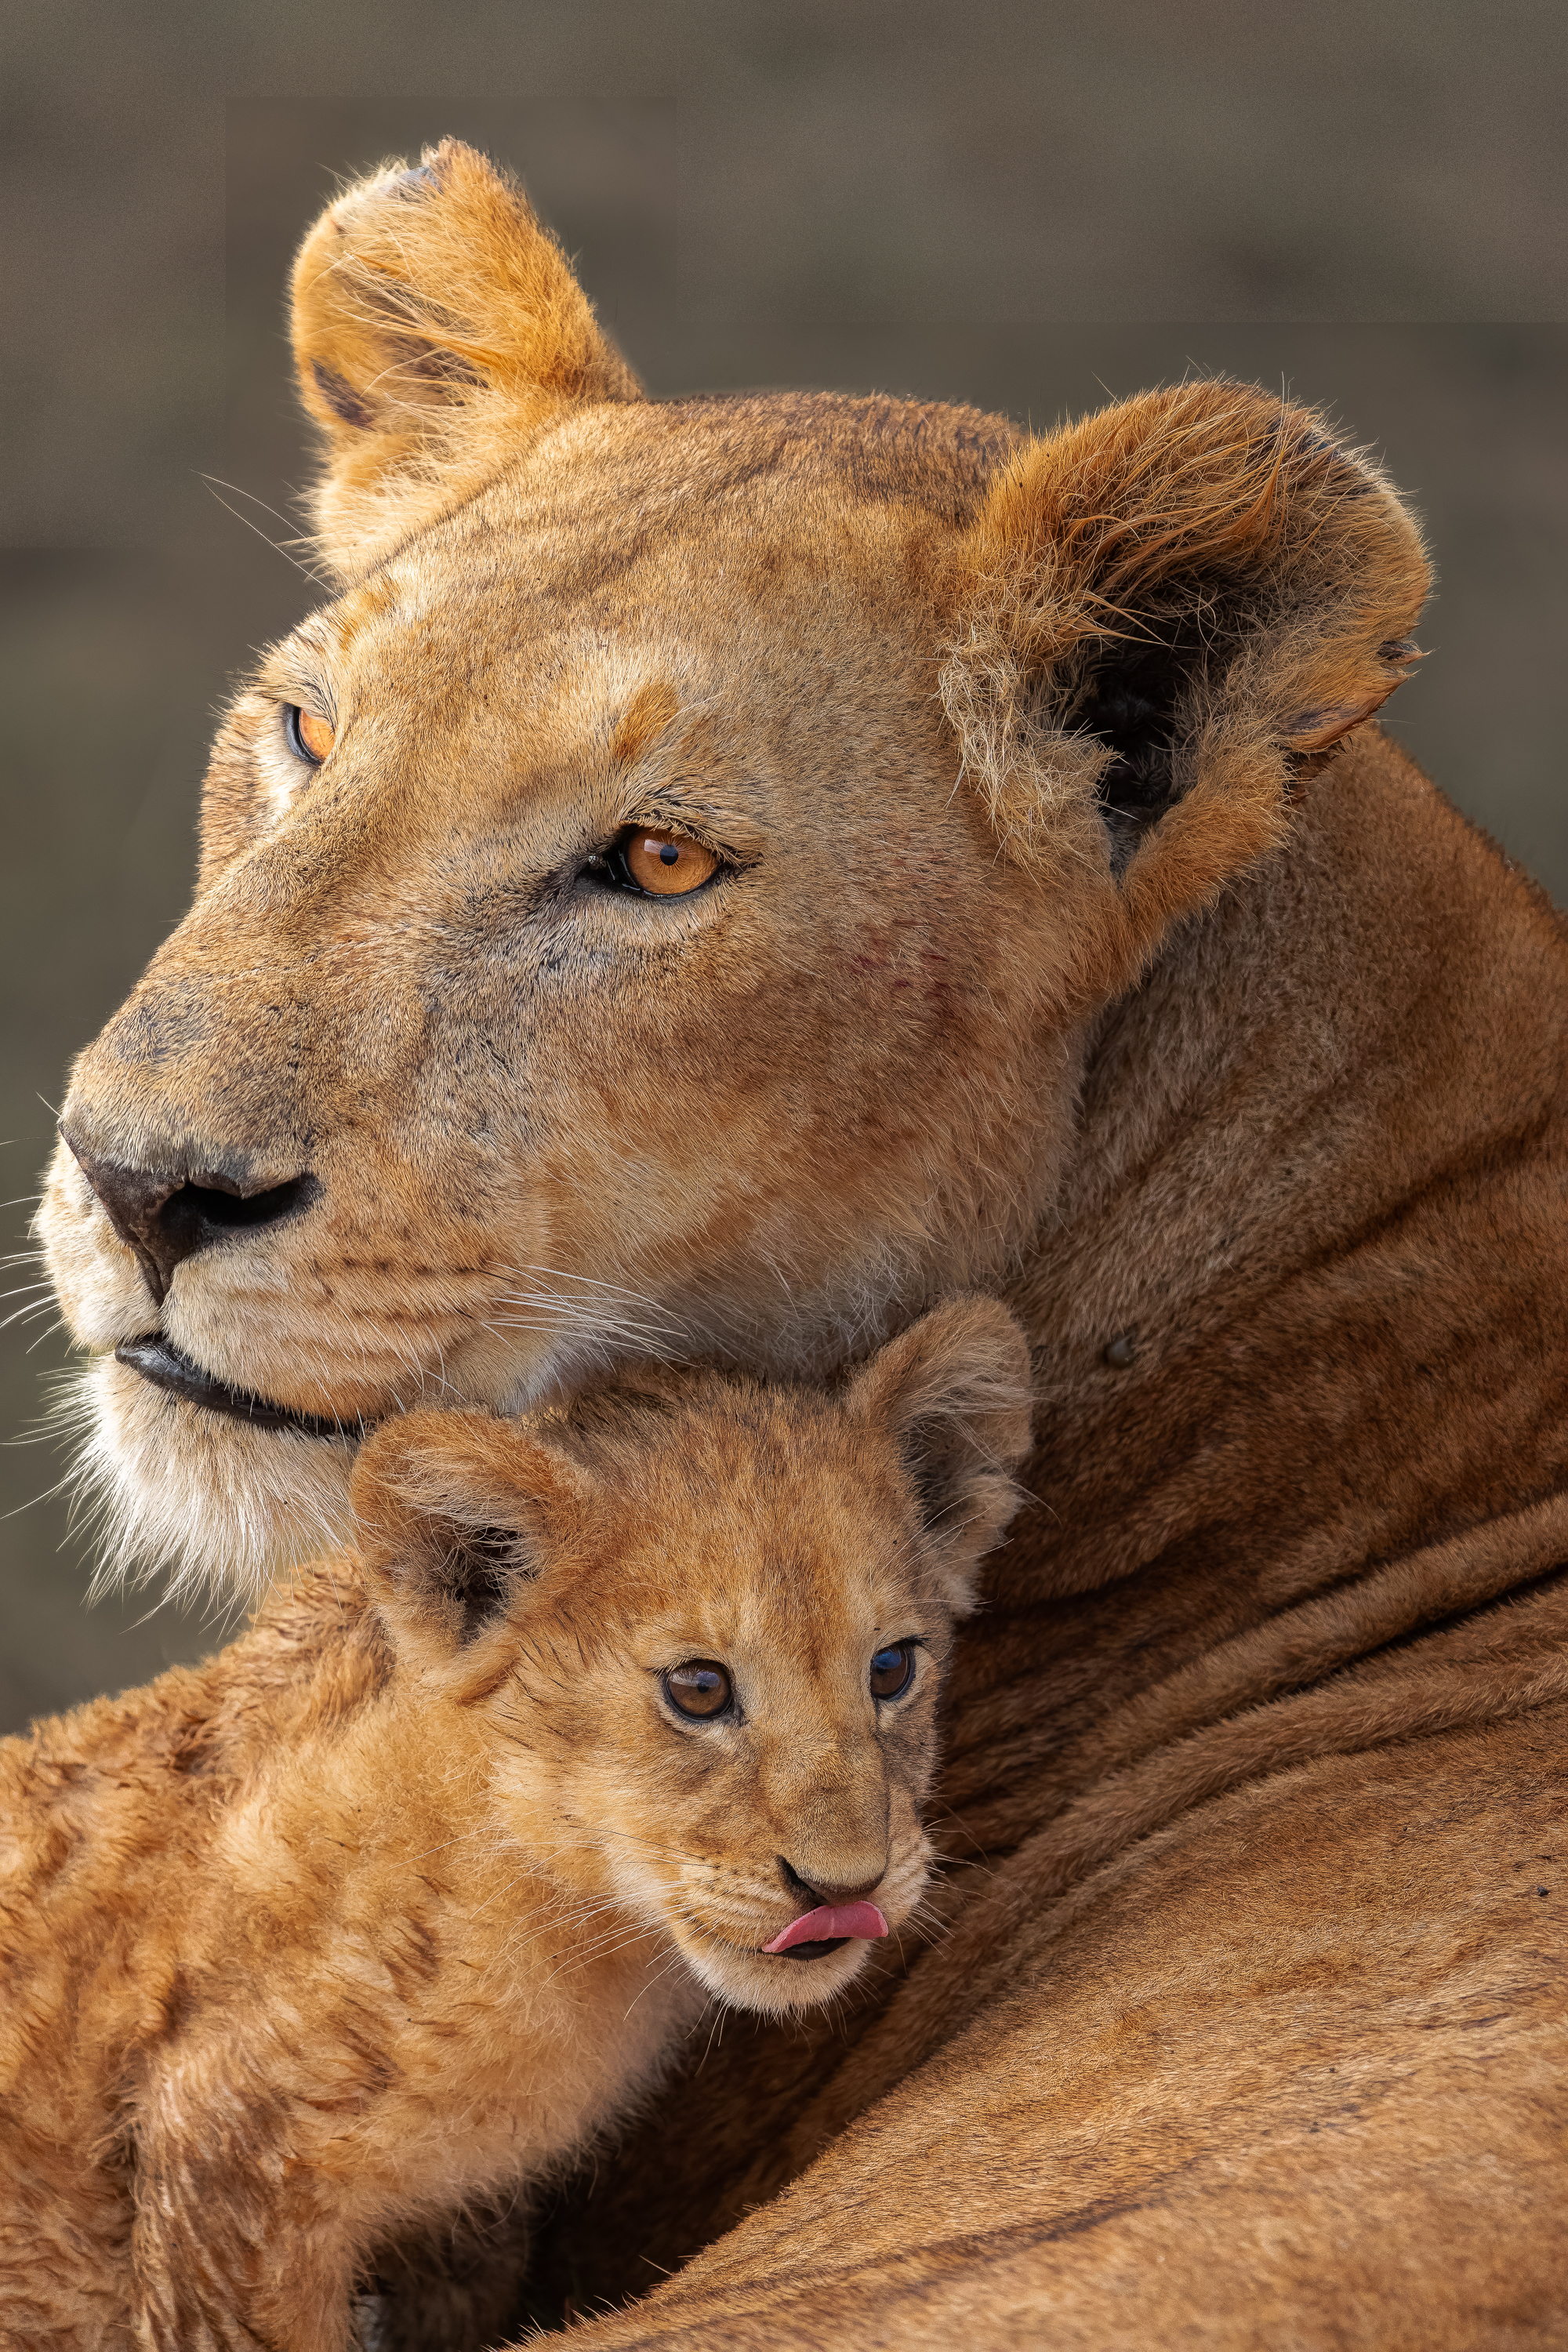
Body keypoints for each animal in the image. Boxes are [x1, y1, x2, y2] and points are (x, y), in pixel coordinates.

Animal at [0, 1299, 1030, 2350]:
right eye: (698, 1689)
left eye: (891, 1669)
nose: (844, 1887)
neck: (576, 1932)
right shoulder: (220, 2140)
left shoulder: (460, 2226)